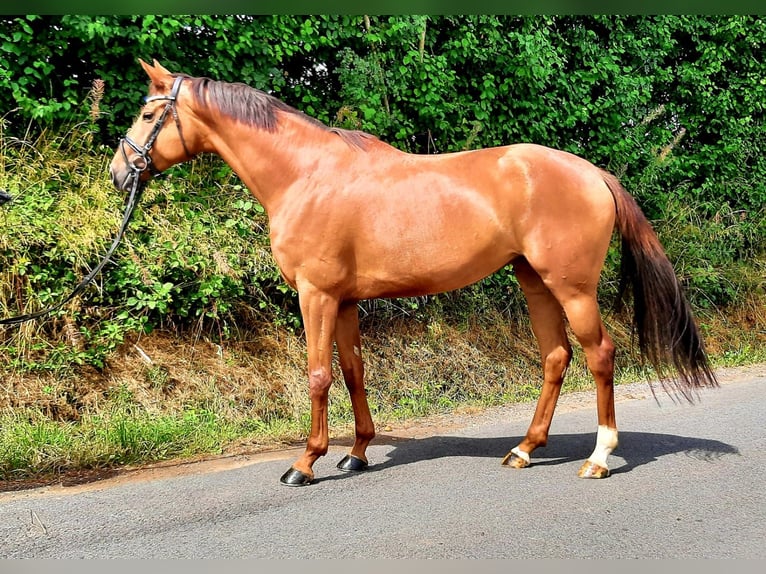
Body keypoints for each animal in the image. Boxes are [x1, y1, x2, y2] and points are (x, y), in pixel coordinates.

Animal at [109, 59, 718, 486]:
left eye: (148, 113)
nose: (119, 172)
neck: (306, 174)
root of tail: (594, 173)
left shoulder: (316, 295)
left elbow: (318, 375)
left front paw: (305, 463)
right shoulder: (345, 300)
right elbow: (353, 373)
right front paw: (356, 454)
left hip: (571, 287)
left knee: (599, 355)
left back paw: (598, 457)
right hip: (534, 281)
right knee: (555, 357)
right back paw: (524, 449)